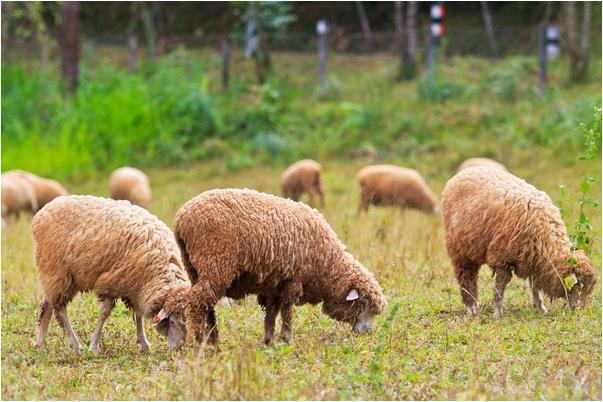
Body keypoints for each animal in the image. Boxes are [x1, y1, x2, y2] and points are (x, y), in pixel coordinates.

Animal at [32, 195, 191, 352]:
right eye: (173, 322)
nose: (178, 348)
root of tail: (42, 212)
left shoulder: (135, 286)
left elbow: (138, 313)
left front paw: (143, 343)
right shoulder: (112, 283)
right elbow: (105, 313)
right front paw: (94, 345)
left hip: (56, 275)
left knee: (47, 306)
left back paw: (39, 344)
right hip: (57, 271)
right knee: (60, 309)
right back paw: (76, 345)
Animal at [172, 188, 384, 346]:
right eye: (363, 304)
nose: (367, 334)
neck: (327, 266)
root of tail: (181, 220)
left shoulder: (274, 283)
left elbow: (271, 312)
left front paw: (268, 341)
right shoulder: (294, 279)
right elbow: (287, 310)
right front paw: (287, 339)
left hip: (194, 268)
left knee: (206, 305)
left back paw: (213, 341)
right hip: (215, 263)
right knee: (197, 302)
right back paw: (199, 341)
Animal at [442, 166, 596, 318]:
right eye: (580, 286)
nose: (580, 311)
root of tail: (463, 173)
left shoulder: (534, 260)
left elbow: (534, 286)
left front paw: (540, 307)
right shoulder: (502, 259)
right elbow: (500, 289)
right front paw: (497, 313)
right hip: (460, 251)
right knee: (466, 279)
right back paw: (471, 308)